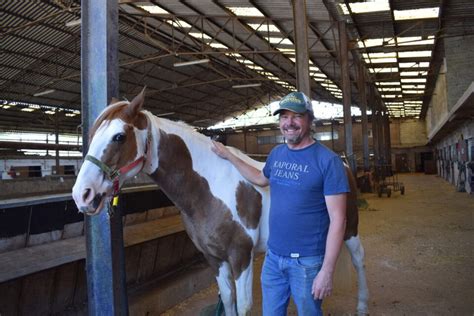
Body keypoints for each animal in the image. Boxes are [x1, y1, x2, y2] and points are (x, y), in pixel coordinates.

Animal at [73, 89, 370, 316]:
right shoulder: (214, 258)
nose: (82, 194)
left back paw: (362, 307)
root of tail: (342, 163)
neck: (211, 189)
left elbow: (245, 306)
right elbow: (228, 302)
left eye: (119, 137)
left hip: (350, 230)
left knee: (358, 261)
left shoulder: (241, 257)